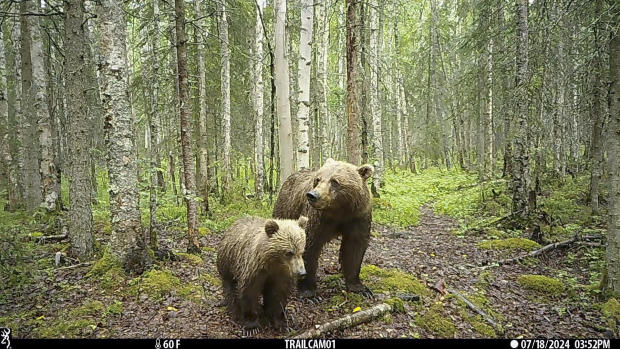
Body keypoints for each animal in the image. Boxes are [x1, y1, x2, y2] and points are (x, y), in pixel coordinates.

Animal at [272, 158, 372, 296]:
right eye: (317, 179)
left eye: (334, 181)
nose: (312, 195)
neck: (339, 211)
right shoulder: (317, 218)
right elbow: (309, 244)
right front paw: (308, 290)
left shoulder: (358, 217)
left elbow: (355, 247)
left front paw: (358, 287)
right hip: (286, 208)